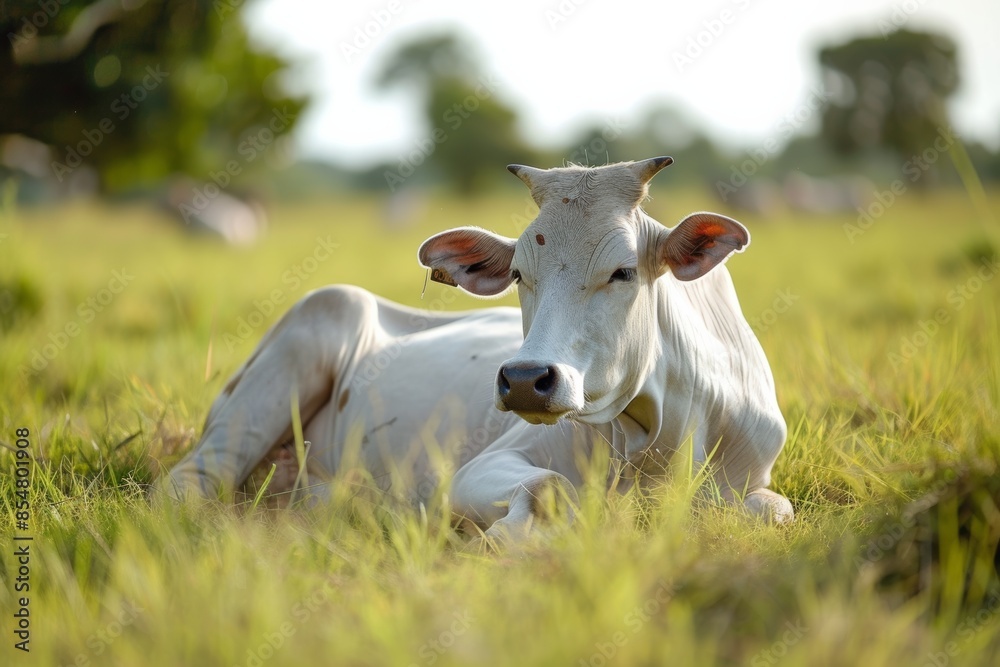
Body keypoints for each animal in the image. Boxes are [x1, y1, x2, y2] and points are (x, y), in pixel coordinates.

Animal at [156, 157, 793, 540]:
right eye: (516, 274)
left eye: (623, 272)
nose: (526, 379)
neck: (663, 433)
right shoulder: (483, 467)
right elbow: (550, 487)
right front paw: (505, 540)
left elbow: (773, 508)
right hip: (294, 352)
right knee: (191, 480)